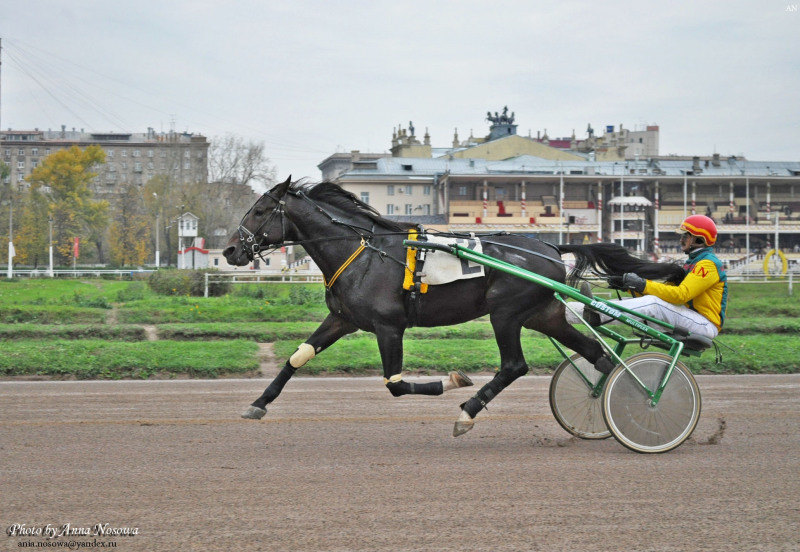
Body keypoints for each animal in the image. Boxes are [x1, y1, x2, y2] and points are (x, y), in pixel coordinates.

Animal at [223, 177, 680, 436]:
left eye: (260, 210)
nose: (229, 250)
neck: (364, 251)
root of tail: (550, 247)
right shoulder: (342, 319)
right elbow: (297, 357)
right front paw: (258, 403)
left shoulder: (389, 327)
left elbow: (395, 383)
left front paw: (453, 381)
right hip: (543, 314)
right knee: (596, 355)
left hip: (505, 312)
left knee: (514, 365)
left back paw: (469, 411)